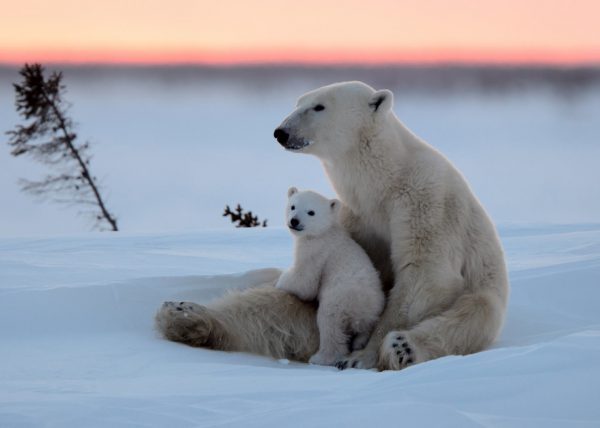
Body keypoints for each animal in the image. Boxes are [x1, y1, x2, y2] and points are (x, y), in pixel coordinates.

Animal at [276, 186, 384, 366]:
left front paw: (281, 281)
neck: (326, 231)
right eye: (293, 206)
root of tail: (363, 309)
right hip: (372, 311)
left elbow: (305, 283)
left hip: (339, 298)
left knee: (329, 324)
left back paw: (321, 357)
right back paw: (360, 342)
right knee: (364, 329)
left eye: (311, 212)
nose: (294, 221)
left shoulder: (315, 251)